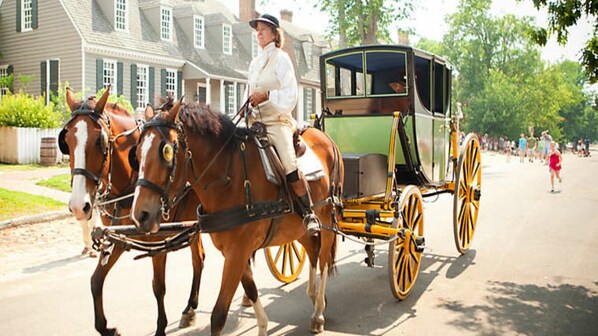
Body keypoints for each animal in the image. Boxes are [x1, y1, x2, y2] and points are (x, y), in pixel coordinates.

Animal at [60, 87, 206, 336]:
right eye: (66, 141)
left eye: (99, 141)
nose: (79, 205)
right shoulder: (119, 237)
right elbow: (96, 281)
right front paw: (106, 328)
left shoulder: (157, 241)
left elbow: (158, 287)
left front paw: (160, 327)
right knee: (200, 259)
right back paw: (190, 308)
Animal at [131, 98, 346, 334]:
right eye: (137, 153)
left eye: (166, 153)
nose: (140, 214)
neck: (230, 176)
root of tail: (324, 137)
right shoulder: (234, 252)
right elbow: (251, 291)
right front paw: (262, 327)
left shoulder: (237, 252)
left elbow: (218, 315)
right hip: (296, 228)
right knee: (313, 250)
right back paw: (315, 296)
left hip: (326, 217)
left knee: (323, 260)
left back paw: (318, 313)